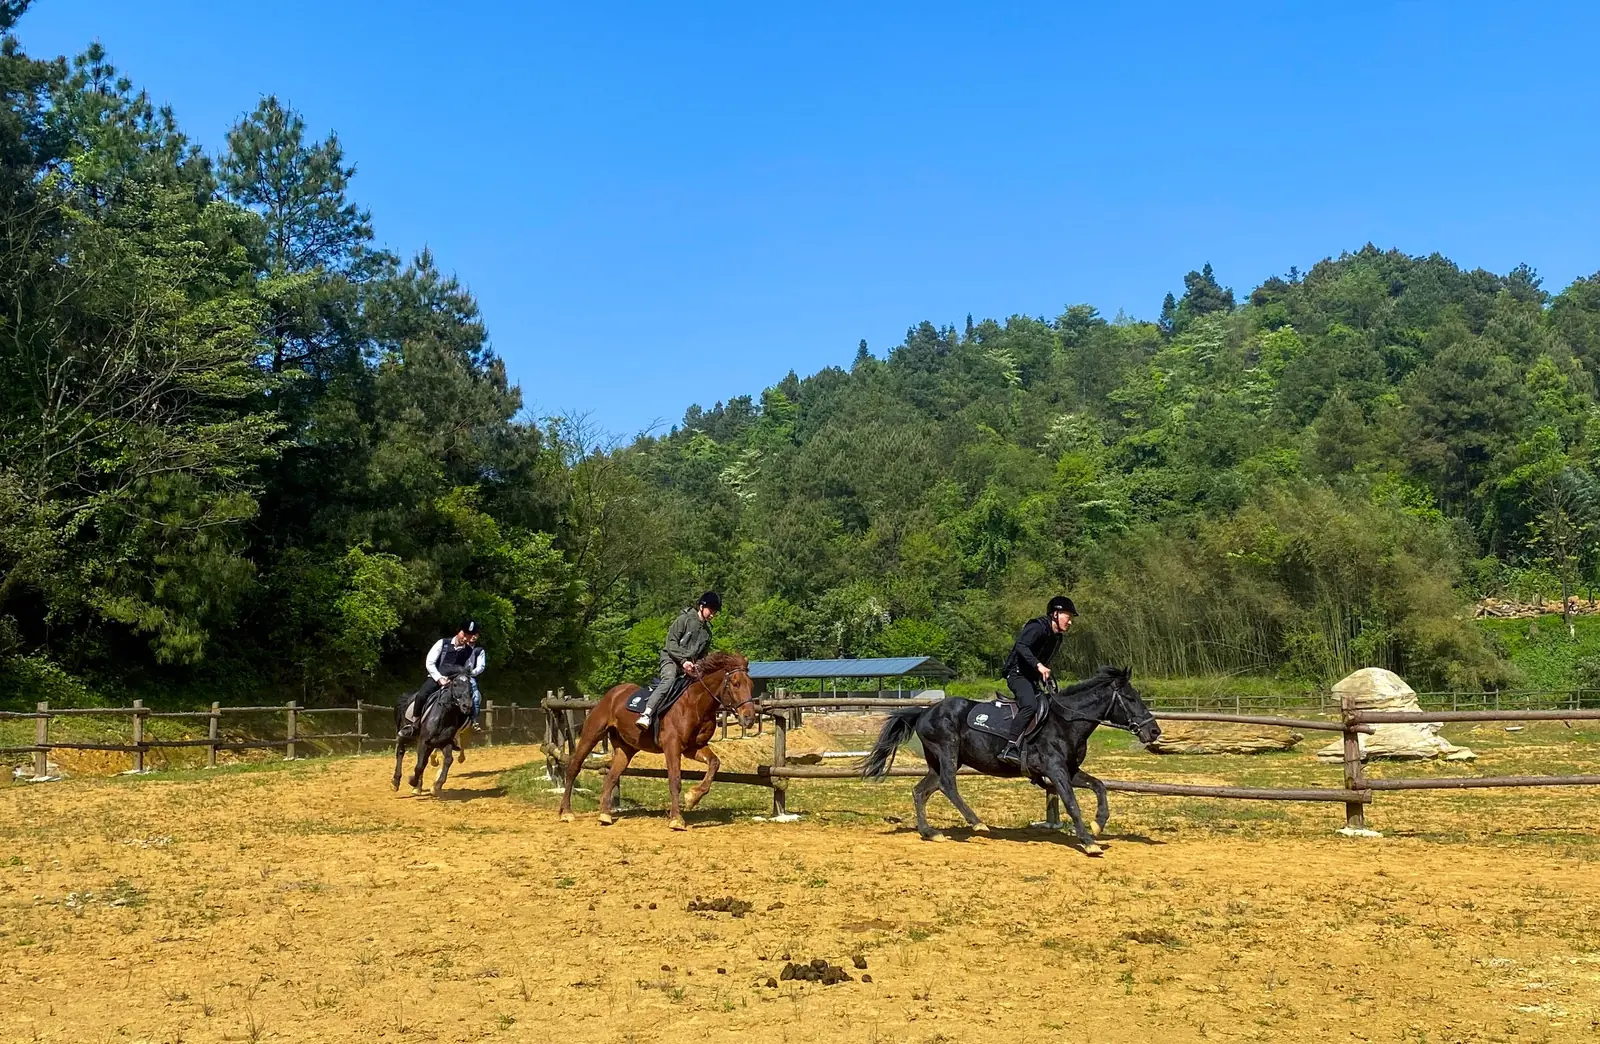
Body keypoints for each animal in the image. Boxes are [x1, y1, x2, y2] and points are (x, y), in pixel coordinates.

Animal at [558, 651, 759, 830]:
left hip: (626, 749)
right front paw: (677, 819)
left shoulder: (694, 747)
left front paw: (693, 797)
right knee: (574, 767)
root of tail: (613, 693)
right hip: (591, 734)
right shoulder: (672, 746)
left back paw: (605, 815)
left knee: (611, 777)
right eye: (735, 683)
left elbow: (714, 763)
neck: (694, 704)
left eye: (751, 684)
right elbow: (675, 780)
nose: (749, 718)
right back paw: (566, 812)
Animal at [862, 666, 1160, 855]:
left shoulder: (1070, 770)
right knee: (947, 785)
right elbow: (1072, 804)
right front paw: (1088, 842)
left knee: (921, 791)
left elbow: (1099, 786)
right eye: (1131, 698)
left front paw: (1098, 824)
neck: (1066, 722)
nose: (1154, 731)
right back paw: (977, 823)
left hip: (942, 759)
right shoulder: (1056, 771)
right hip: (948, 752)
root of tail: (925, 712)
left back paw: (930, 832)